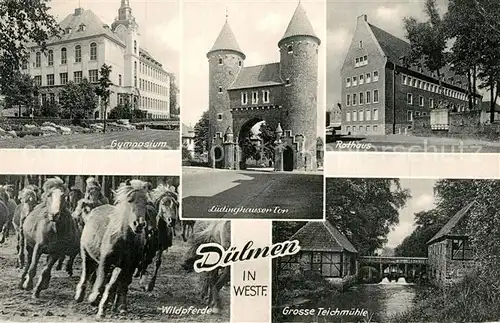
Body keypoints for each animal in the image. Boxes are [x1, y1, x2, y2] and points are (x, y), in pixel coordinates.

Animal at [74, 180, 150, 318]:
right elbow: (101, 283)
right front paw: (93, 300)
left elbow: (115, 286)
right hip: (86, 254)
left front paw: (106, 307)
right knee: (86, 273)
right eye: (130, 200)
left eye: (146, 202)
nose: (139, 224)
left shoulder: (126, 266)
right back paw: (80, 296)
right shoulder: (105, 262)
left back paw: (117, 306)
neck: (125, 240)